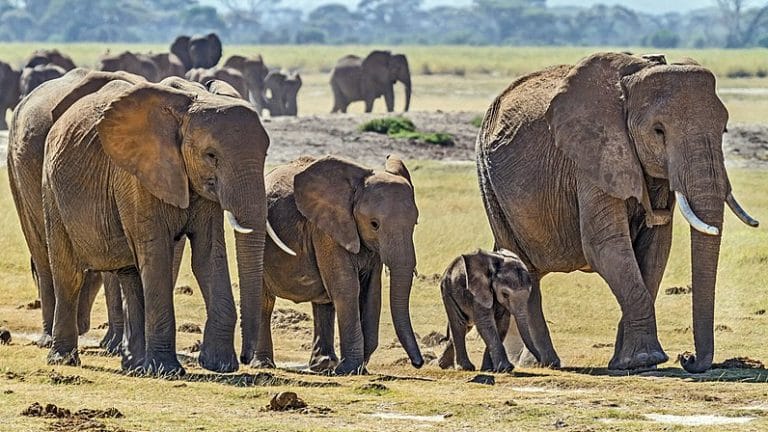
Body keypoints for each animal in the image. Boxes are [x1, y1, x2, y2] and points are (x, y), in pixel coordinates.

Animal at [36, 71, 293, 375]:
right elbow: (157, 253)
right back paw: (64, 359)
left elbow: (208, 255)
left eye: (265, 155)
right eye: (211, 156)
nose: (247, 358)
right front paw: (167, 370)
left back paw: (134, 366)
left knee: (131, 274)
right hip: (51, 188)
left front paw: (219, 365)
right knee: (69, 272)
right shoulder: (137, 176)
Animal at [257, 155, 424, 374]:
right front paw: (349, 369)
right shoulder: (326, 229)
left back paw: (323, 365)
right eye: (374, 224)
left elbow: (371, 292)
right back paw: (263, 364)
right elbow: (346, 287)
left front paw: (358, 369)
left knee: (323, 300)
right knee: (265, 300)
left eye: (415, 223)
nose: (418, 363)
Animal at [475, 52, 759, 373]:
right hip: (488, 180)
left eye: (724, 129)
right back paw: (545, 363)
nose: (687, 358)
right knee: (524, 268)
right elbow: (606, 245)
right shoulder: (593, 155)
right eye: (658, 131)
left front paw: (629, 363)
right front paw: (646, 360)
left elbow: (655, 248)